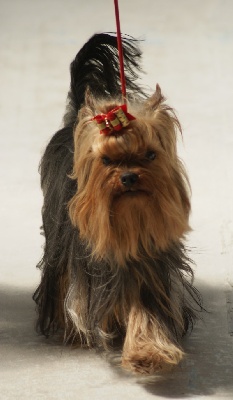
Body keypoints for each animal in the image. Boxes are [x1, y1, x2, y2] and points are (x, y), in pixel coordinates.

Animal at [33, 32, 202, 376]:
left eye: (150, 155)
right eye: (107, 160)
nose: (129, 177)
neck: (128, 222)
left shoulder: (148, 269)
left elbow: (146, 312)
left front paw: (147, 354)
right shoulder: (81, 267)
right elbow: (76, 300)